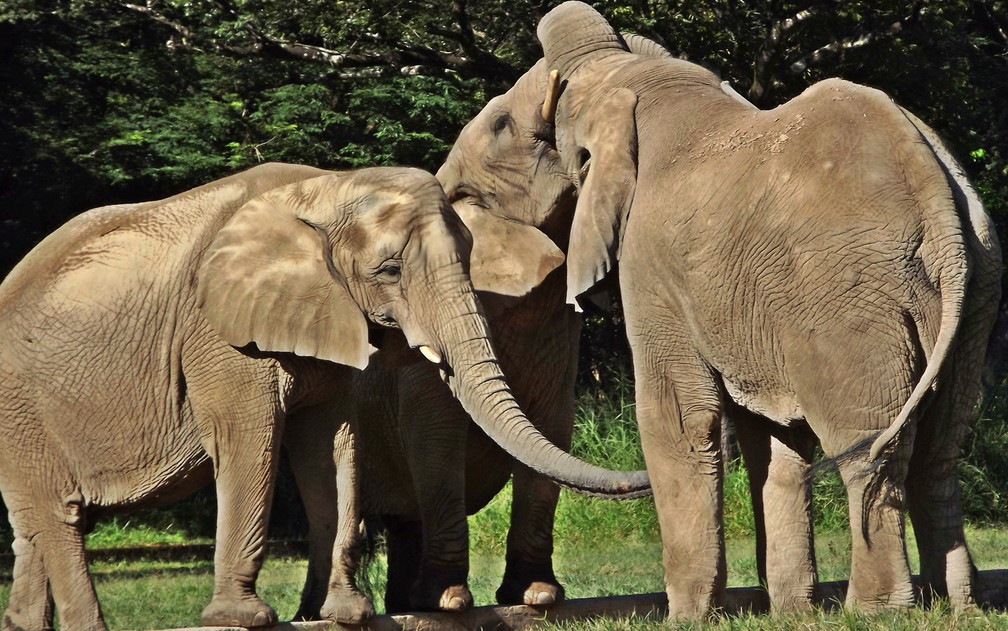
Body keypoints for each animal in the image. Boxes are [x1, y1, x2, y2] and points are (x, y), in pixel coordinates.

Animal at [0, 161, 650, 631]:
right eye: (389, 270)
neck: (322, 191)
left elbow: (333, 447)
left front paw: (345, 614)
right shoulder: (218, 335)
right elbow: (250, 443)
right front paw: (244, 618)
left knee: (33, 525)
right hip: (21, 404)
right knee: (59, 515)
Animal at [435, 1, 1002, 618]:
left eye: (502, 126)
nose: (447, 186)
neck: (628, 78)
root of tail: (936, 194)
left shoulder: (650, 263)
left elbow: (678, 419)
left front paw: (685, 618)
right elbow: (773, 442)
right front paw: (792, 614)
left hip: (849, 303)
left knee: (868, 447)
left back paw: (875, 610)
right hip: (976, 290)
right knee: (940, 454)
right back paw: (959, 605)